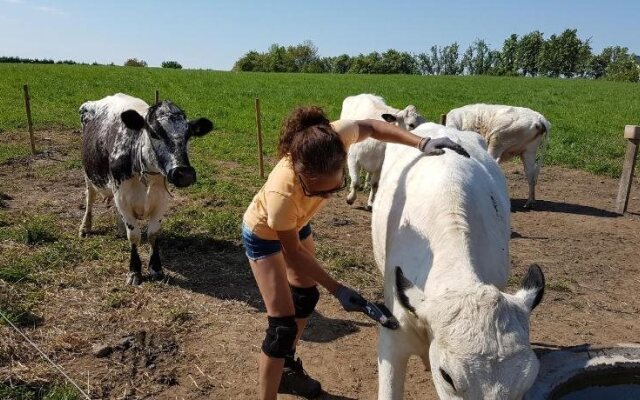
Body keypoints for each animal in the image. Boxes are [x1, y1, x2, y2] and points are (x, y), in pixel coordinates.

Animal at [79, 93, 214, 284]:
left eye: (188, 135)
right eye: (153, 133)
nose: (184, 173)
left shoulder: (161, 200)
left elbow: (153, 234)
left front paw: (156, 268)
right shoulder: (122, 196)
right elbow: (134, 235)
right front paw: (134, 271)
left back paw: (120, 229)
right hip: (88, 174)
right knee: (90, 198)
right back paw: (85, 227)